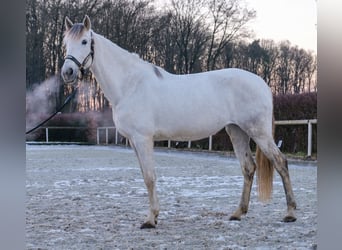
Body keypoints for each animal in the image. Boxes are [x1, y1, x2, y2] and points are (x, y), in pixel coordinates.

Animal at [61, 14, 296, 228]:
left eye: (84, 41)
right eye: (66, 42)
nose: (68, 72)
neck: (130, 85)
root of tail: (263, 84)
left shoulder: (143, 139)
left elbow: (149, 177)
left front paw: (150, 219)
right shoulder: (134, 142)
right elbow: (145, 176)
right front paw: (154, 216)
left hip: (258, 132)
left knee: (280, 162)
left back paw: (290, 213)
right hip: (237, 131)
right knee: (248, 167)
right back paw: (238, 213)